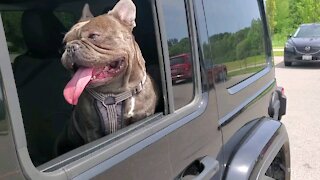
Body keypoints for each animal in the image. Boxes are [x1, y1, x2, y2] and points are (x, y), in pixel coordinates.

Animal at [57, 0, 159, 155]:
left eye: (93, 36)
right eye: (64, 43)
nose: (69, 47)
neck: (112, 94)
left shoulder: (142, 116)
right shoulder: (92, 132)